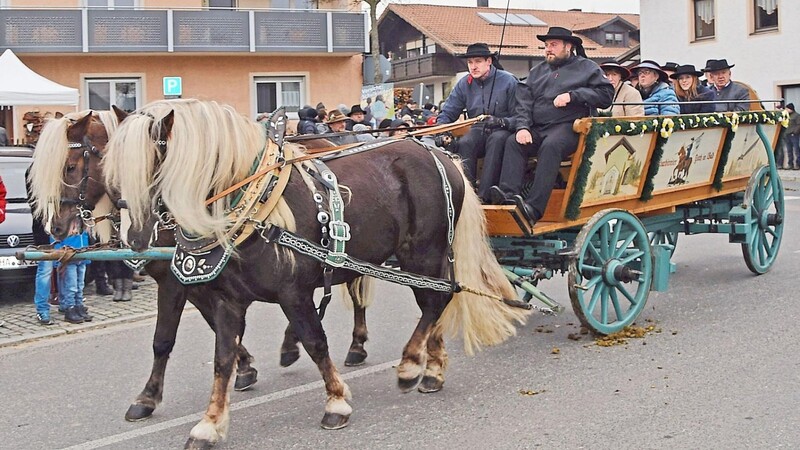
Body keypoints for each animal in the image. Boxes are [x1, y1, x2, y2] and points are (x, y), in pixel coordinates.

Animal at [27, 110, 372, 426]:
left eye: (70, 167)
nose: (56, 228)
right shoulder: (195, 279)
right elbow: (213, 325)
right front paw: (244, 367)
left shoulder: (177, 281)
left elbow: (164, 338)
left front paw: (148, 397)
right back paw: (293, 345)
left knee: (353, 288)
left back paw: (354, 345)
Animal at [108, 99, 532, 450]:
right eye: (113, 175)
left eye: (156, 167)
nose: (136, 241)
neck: (253, 207)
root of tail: (442, 153)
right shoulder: (225, 299)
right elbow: (221, 357)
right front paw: (209, 424)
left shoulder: (293, 293)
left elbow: (316, 342)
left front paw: (336, 402)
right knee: (435, 302)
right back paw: (432, 369)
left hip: (422, 254)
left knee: (437, 299)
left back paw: (412, 365)